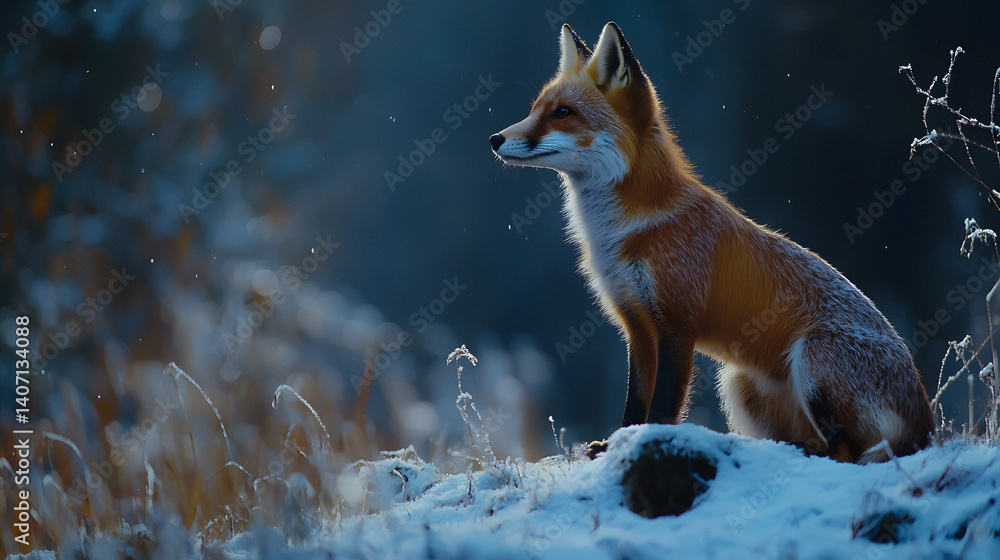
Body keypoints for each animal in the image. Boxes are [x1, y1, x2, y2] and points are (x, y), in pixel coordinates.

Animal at [489, 22, 934, 463]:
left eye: (563, 113)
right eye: (535, 109)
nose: (494, 138)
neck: (624, 231)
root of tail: (928, 426)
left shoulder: (677, 325)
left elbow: (663, 405)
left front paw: (647, 442)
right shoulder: (637, 325)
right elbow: (636, 401)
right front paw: (615, 443)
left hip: (812, 355)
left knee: (846, 451)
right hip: (740, 382)